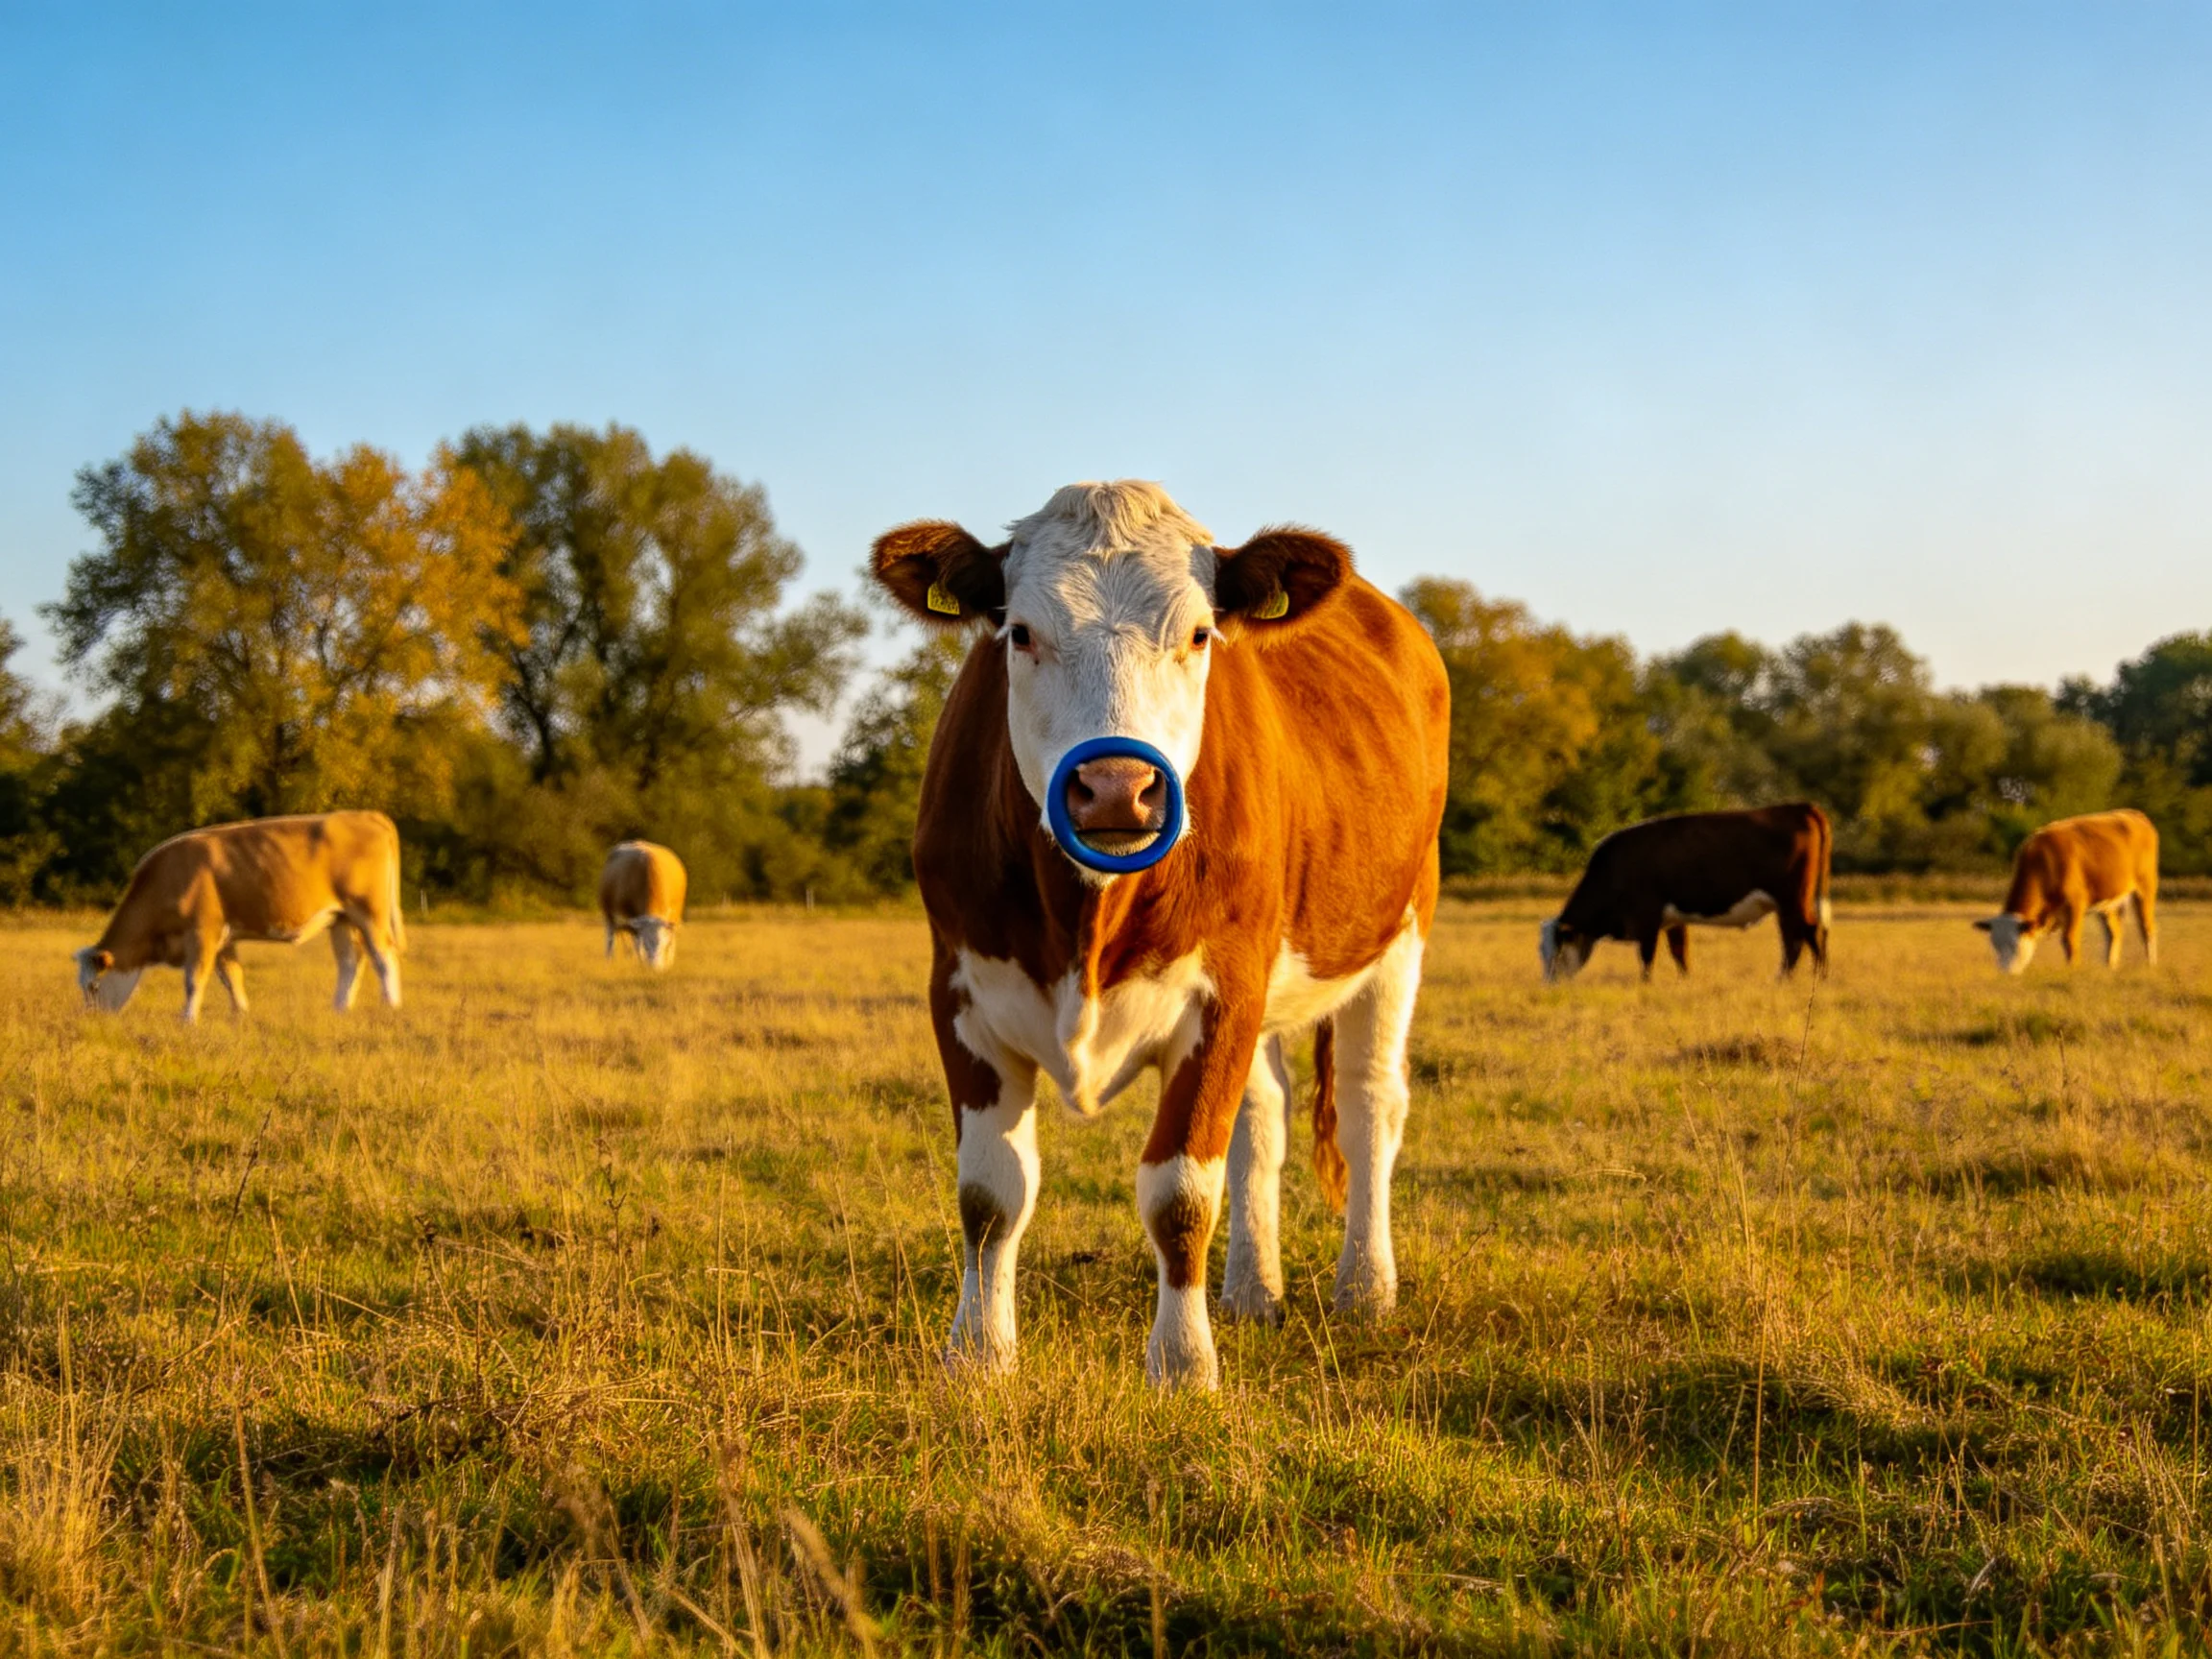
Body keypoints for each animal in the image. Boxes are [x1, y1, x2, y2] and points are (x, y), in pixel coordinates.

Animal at [74, 811, 405, 1022]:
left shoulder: (202, 931)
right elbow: (231, 976)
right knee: (350, 960)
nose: (91, 1020)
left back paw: (391, 1005)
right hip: (341, 918)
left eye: (93, 987)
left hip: (368, 911)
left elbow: (195, 979)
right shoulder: (223, 938)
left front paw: (187, 1019)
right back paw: (339, 1008)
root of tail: (364, 814)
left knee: (383, 955)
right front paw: (240, 1013)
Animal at [599, 840, 687, 969]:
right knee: (610, 937)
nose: (656, 968)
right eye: (647, 944)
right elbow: (638, 942)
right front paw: (642, 962)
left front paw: (668, 963)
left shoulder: (672, 917)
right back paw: (609, 959)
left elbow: (671, 940)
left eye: (663, 944)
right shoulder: (632, 916)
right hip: (609, 913)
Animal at [870, 480, 1450, 1390]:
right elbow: (992, 1194)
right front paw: (979, 1357)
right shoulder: (960, 990)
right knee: (1264, 1116)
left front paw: (1181, 1365)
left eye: (1200, 633)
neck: (1086, 918)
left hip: (1399, 929)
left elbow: (1180, 1192)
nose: (1116, 787)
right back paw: (1252, 1289)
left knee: (1368, 1104)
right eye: (1021, 632)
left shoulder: (1222, 993)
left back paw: (1365, 1289)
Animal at [1541, 803, 1832, 982]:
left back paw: (1812, 976)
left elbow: (1647, 956)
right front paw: (1684, 980)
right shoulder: (1673, 920)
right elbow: (1679, 952)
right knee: (1794, 937)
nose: (1550, 983)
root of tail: (1799, 808)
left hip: (1793, 897)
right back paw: (1788, 977)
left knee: (1808, 931)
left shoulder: (1647, 918)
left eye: (1557, 949)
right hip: (1787, 904)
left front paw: (1646, 983)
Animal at [1975, 809, 2158, 974]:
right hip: (2106, 901)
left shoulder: (2075, 904)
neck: (2043, 863)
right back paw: (2110, 967)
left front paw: (2073, 971)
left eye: (2014, 944)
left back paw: (2150, 965)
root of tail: (2134, 814)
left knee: (2147, 928)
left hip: (2145, 888)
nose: (2005, 973)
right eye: (1995, 945)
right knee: (2114, 933)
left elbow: (2069, 940)